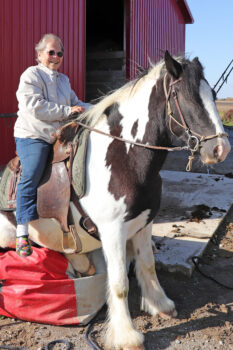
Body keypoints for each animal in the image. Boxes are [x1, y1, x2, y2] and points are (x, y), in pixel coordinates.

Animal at [0, 50, 230, 348]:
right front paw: (126, 335)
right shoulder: (113, 231)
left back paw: (81, 263)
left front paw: (160, 304)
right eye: (184, 96)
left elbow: (147, 264)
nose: (221, 148)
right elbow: (120, 283)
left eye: (212, 94)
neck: (126, 157)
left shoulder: (144, 223)